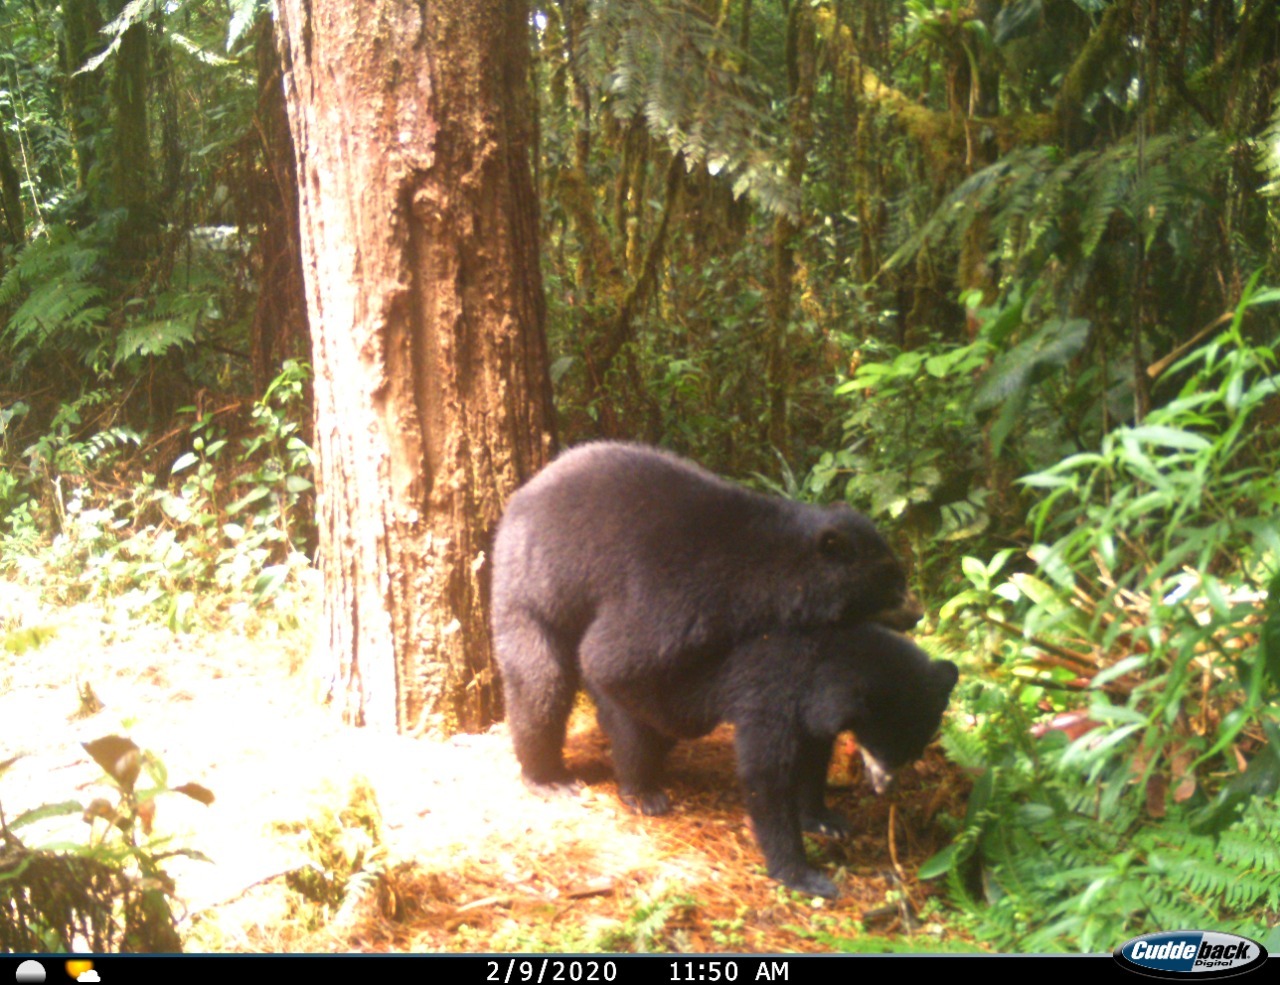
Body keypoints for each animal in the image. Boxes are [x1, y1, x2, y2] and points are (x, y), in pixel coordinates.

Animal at [491, 441, 914, 794]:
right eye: (891, 582)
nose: (917, 613)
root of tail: (517, 501)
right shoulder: (676, 596)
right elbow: (610, 660)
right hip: (529, 592)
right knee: (539, 683)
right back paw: (547, 775)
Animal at [587, 623, 959, 898]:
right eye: (884, 748)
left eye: (914, 749)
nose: (885, 786)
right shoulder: (769, 693)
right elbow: (766, 776)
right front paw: (802, 875)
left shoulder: (809, 712)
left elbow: (814, 758)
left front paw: (825, 820)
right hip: (638, 689)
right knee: (635, 736)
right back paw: (643, 793)